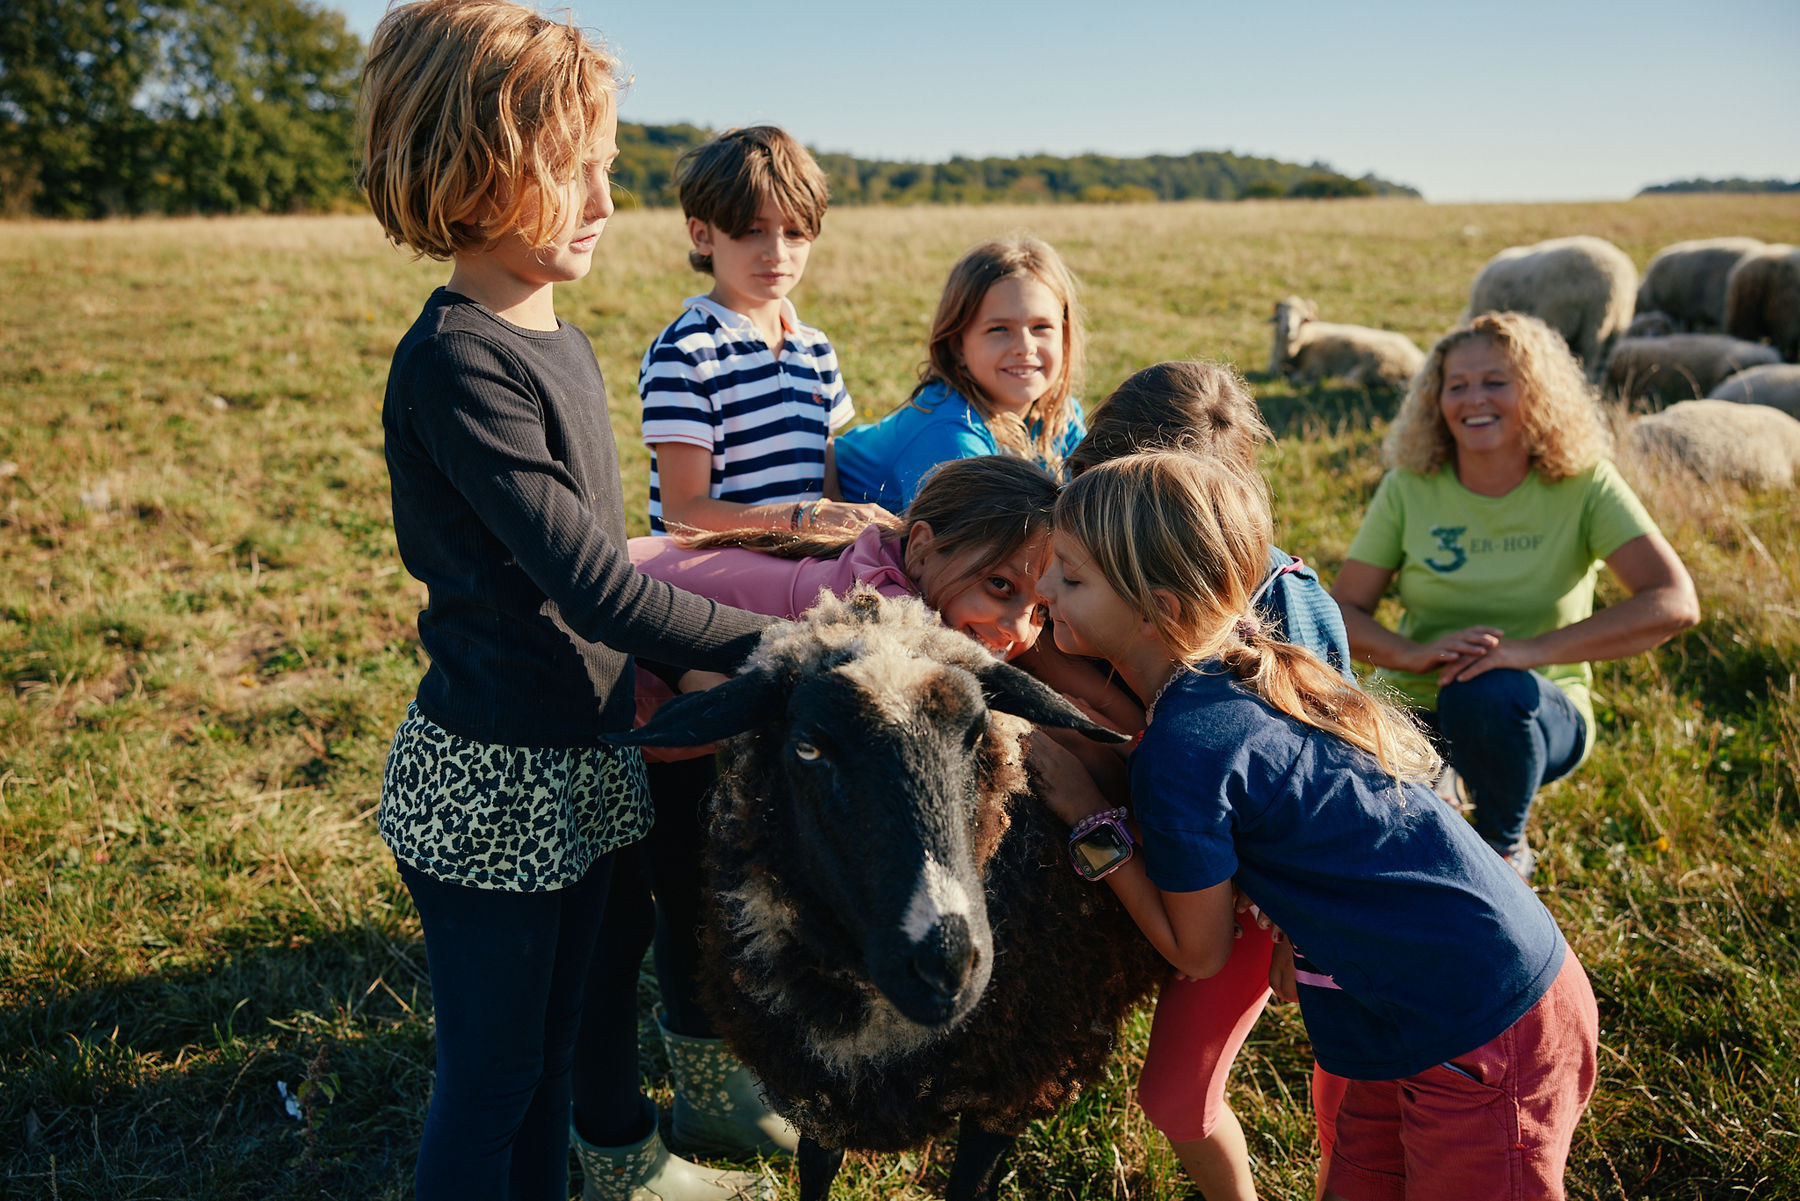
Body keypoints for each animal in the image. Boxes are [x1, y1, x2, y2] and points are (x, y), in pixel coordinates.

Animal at [612, 590, 1159, 1201]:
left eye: (976, 733)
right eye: (807, 748)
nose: (946, 964)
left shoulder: (1016, 1082)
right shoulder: (819, 1087)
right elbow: (816, 1172)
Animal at [1274, 298, 1425, 392]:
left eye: (1303, 319)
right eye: (1280, 317)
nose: (1289, 330)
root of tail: (1418, 358)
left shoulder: (1315, 366)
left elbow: (1297, 378)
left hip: (1376, 363)